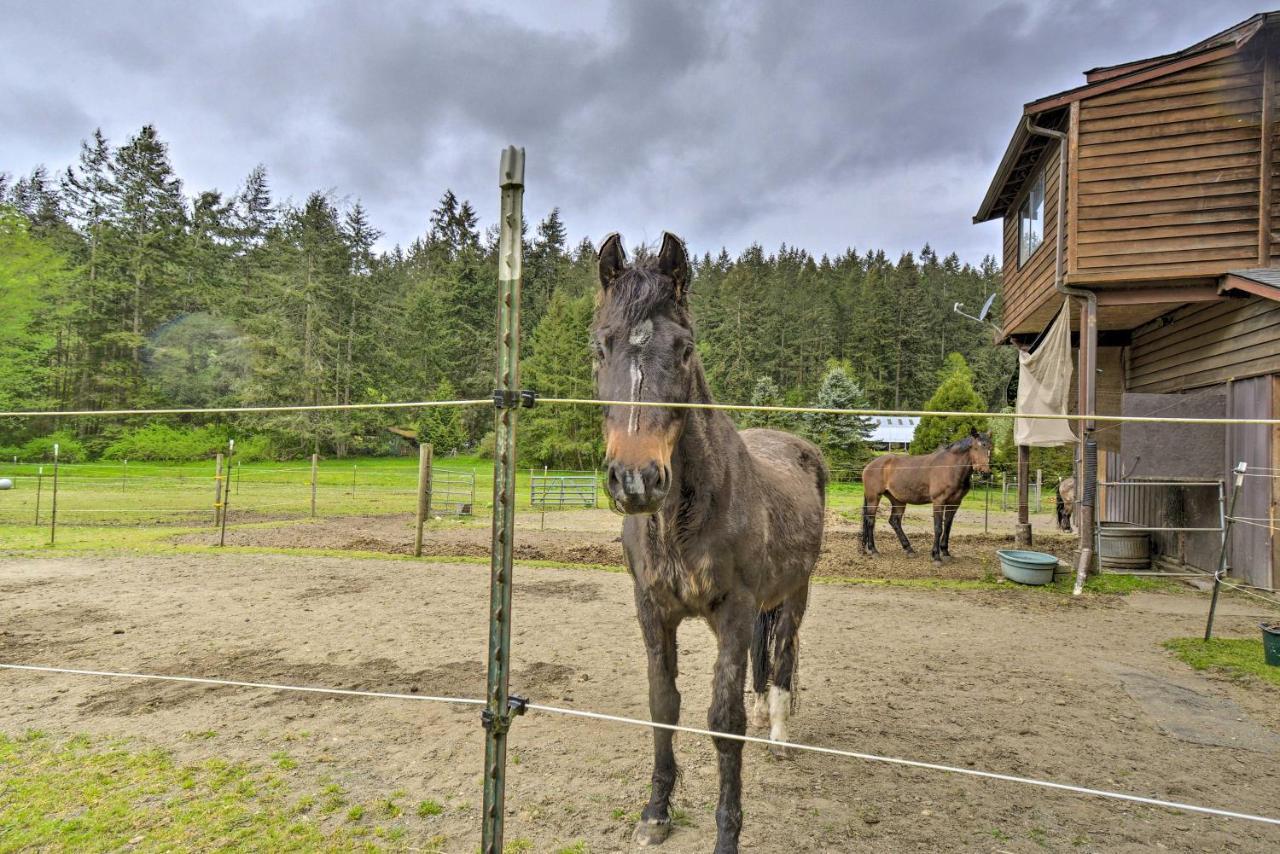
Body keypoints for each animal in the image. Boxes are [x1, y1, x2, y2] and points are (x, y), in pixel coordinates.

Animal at [591, 230, 824, 850]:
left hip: (794, 595)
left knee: (784, 657)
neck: (680, 519)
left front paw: (727, 834)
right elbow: (662, 706)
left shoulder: (735, 610)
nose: (636, 479)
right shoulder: (652, 609)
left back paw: (779, 734)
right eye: (600, 348)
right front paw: (655, 812)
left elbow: (725, 724)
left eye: (685, 349)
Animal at [865, 430, 993, 563]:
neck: (950, 468)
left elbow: (947, 526)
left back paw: (909, 549)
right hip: (874, 497)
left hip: (898, 500)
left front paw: (945, 552)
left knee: (894, 521)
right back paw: (873, 550)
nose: (986, 473)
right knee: (870, 520)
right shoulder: (938, 501)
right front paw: (936, 556)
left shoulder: (954, 503)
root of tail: (870, 465)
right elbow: (938, 527)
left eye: (990, 447)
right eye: (975, 447)